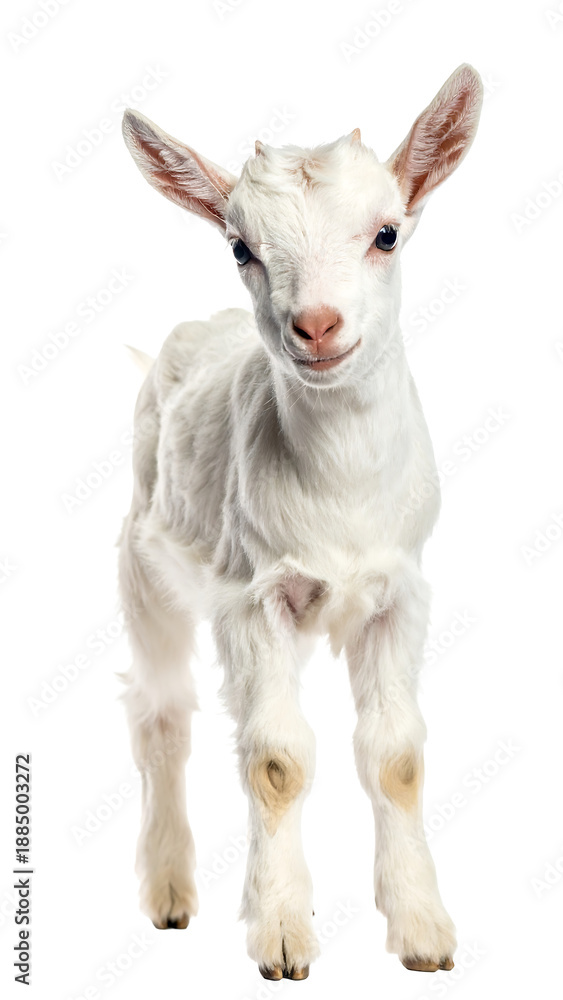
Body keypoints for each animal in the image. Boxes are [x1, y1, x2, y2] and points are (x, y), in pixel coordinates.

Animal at [118, 64, 482, 980]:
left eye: (386, 234)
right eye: (239, 248)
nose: (315, 325)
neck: (336, 496)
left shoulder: (399, 594)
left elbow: (396, 756)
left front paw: (422, 931)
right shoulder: (252, 599)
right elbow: (278, 759)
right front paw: (282, 935)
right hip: (143, 566)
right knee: (160, 713)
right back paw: (169, 893)